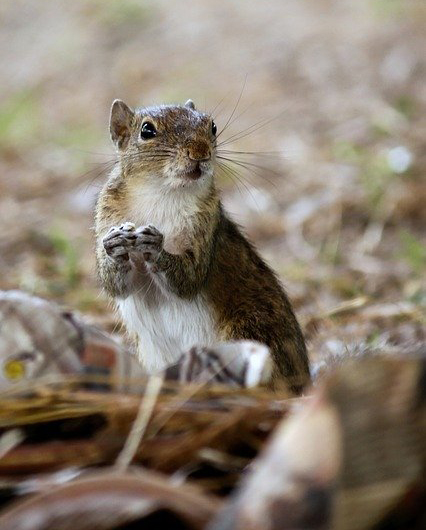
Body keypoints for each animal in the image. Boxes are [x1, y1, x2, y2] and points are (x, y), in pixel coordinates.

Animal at [95, 98, 310, 392]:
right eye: (147, 131)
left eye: (213, 126)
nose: (200, 152)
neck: (162, 193)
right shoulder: (107, 216)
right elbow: (115, 285)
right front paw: (115, 245)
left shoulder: (207, 226)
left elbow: (189, 278)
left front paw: (156, 247)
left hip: (250, 329)